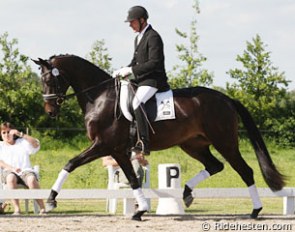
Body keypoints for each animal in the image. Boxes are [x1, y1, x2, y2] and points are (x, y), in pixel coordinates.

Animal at [33, 54, 286, 219]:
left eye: (50, 80)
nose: (50, 111)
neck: (100, 96)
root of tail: (225, 98)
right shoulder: (117, 150)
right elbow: (132, 179)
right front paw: (141, 210)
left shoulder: (104, 145)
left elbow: (70, 163)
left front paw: (51, 199)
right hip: (193, 144)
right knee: (215, 166)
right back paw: (186, 193)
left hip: (225, 142)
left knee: (245, 171)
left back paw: (255, 210)